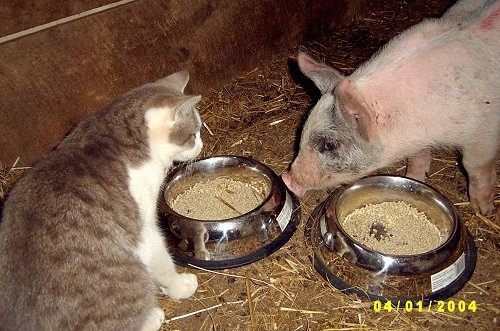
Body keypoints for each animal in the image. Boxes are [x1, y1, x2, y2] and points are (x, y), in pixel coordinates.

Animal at [0, 71, 203, 330]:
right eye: (193, 134)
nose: (201, 145)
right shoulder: (144, 230)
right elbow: (163, 262)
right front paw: (179, 287)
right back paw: (152, 317)